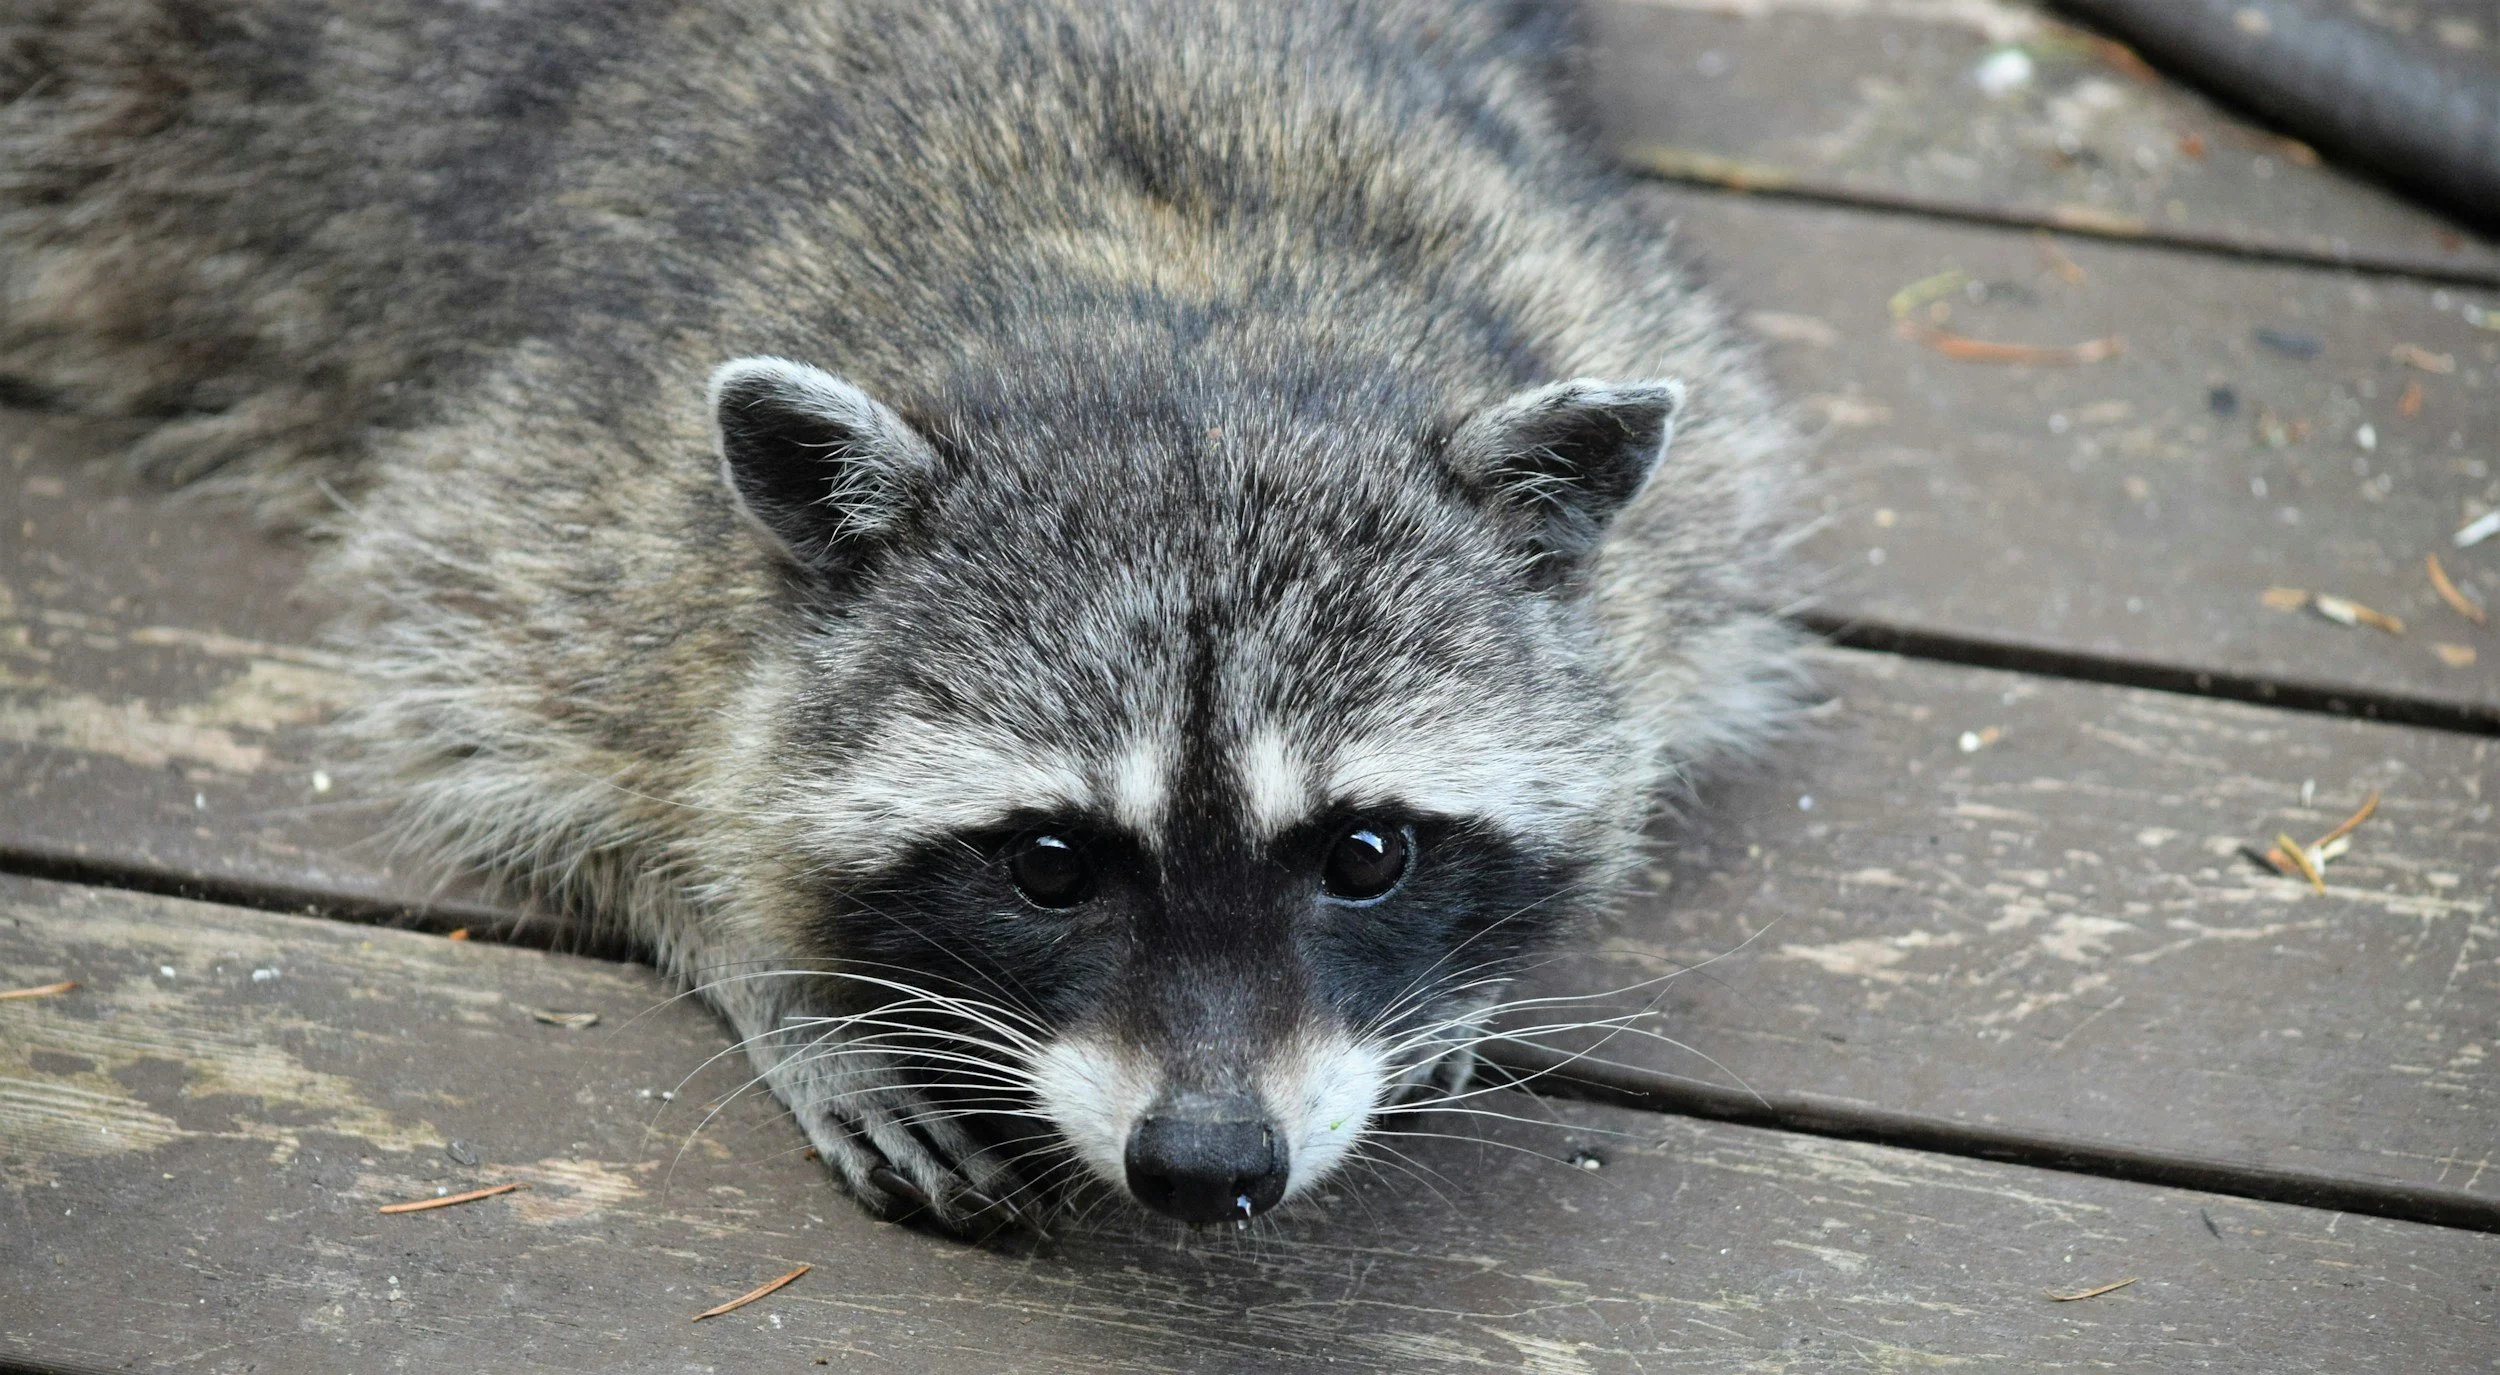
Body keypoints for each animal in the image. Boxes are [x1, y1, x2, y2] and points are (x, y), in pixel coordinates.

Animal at [0, 0, 1801, 1230]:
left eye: (1365, 853)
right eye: (1050, 863)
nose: (1208, 1164)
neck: (1167, 305)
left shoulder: (1624, 353)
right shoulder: (576, 495)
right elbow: (489, 717)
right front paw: (768, 959)